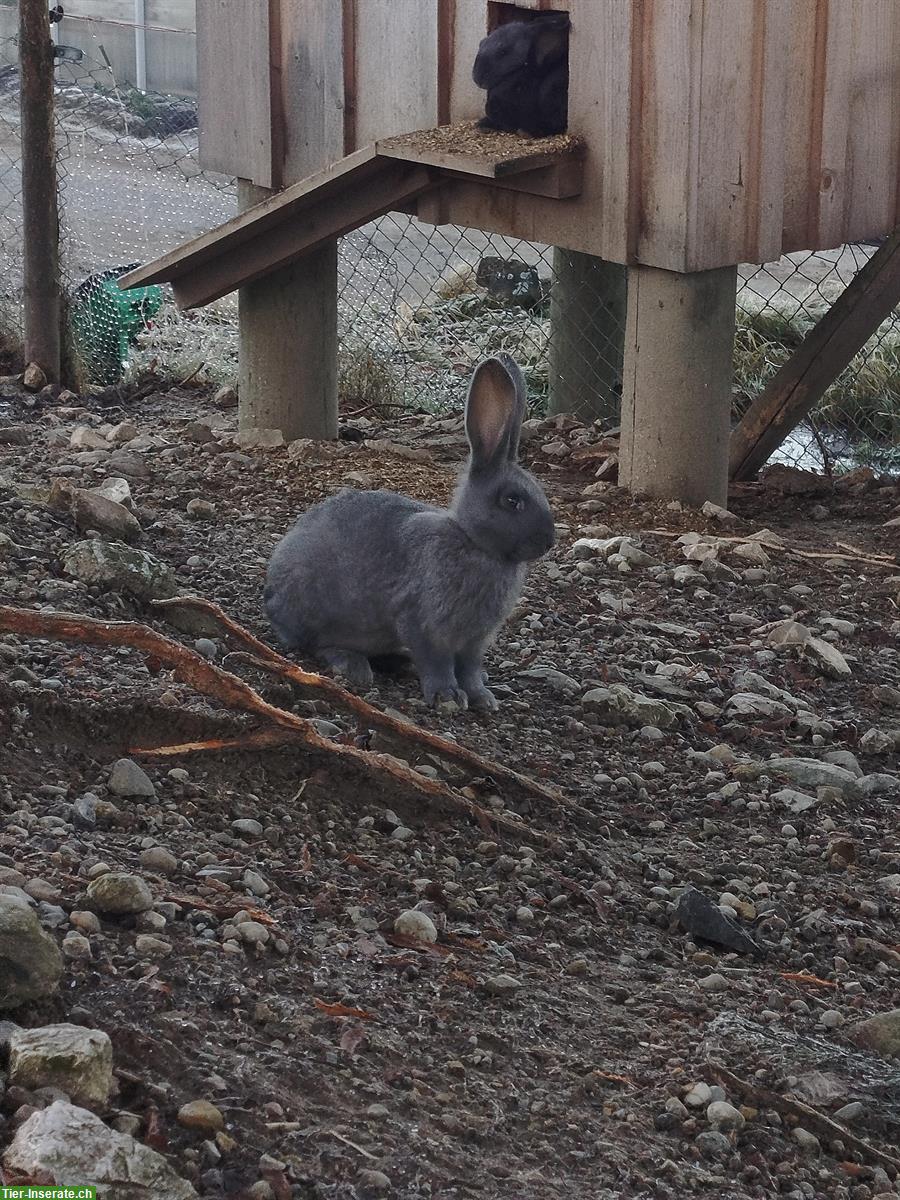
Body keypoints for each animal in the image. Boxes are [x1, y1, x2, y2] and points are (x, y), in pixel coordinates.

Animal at [264, 354, 555, 711]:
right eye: (512, 501)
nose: (548, 542)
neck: (473, 542)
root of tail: (272, 595)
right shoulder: (422, 623)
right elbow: (437, 663)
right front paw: (448, 696)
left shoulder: (474, 642)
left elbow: (470, 669)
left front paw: (482, 698)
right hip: (317, 613)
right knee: (316, 645)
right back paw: (355, 666)